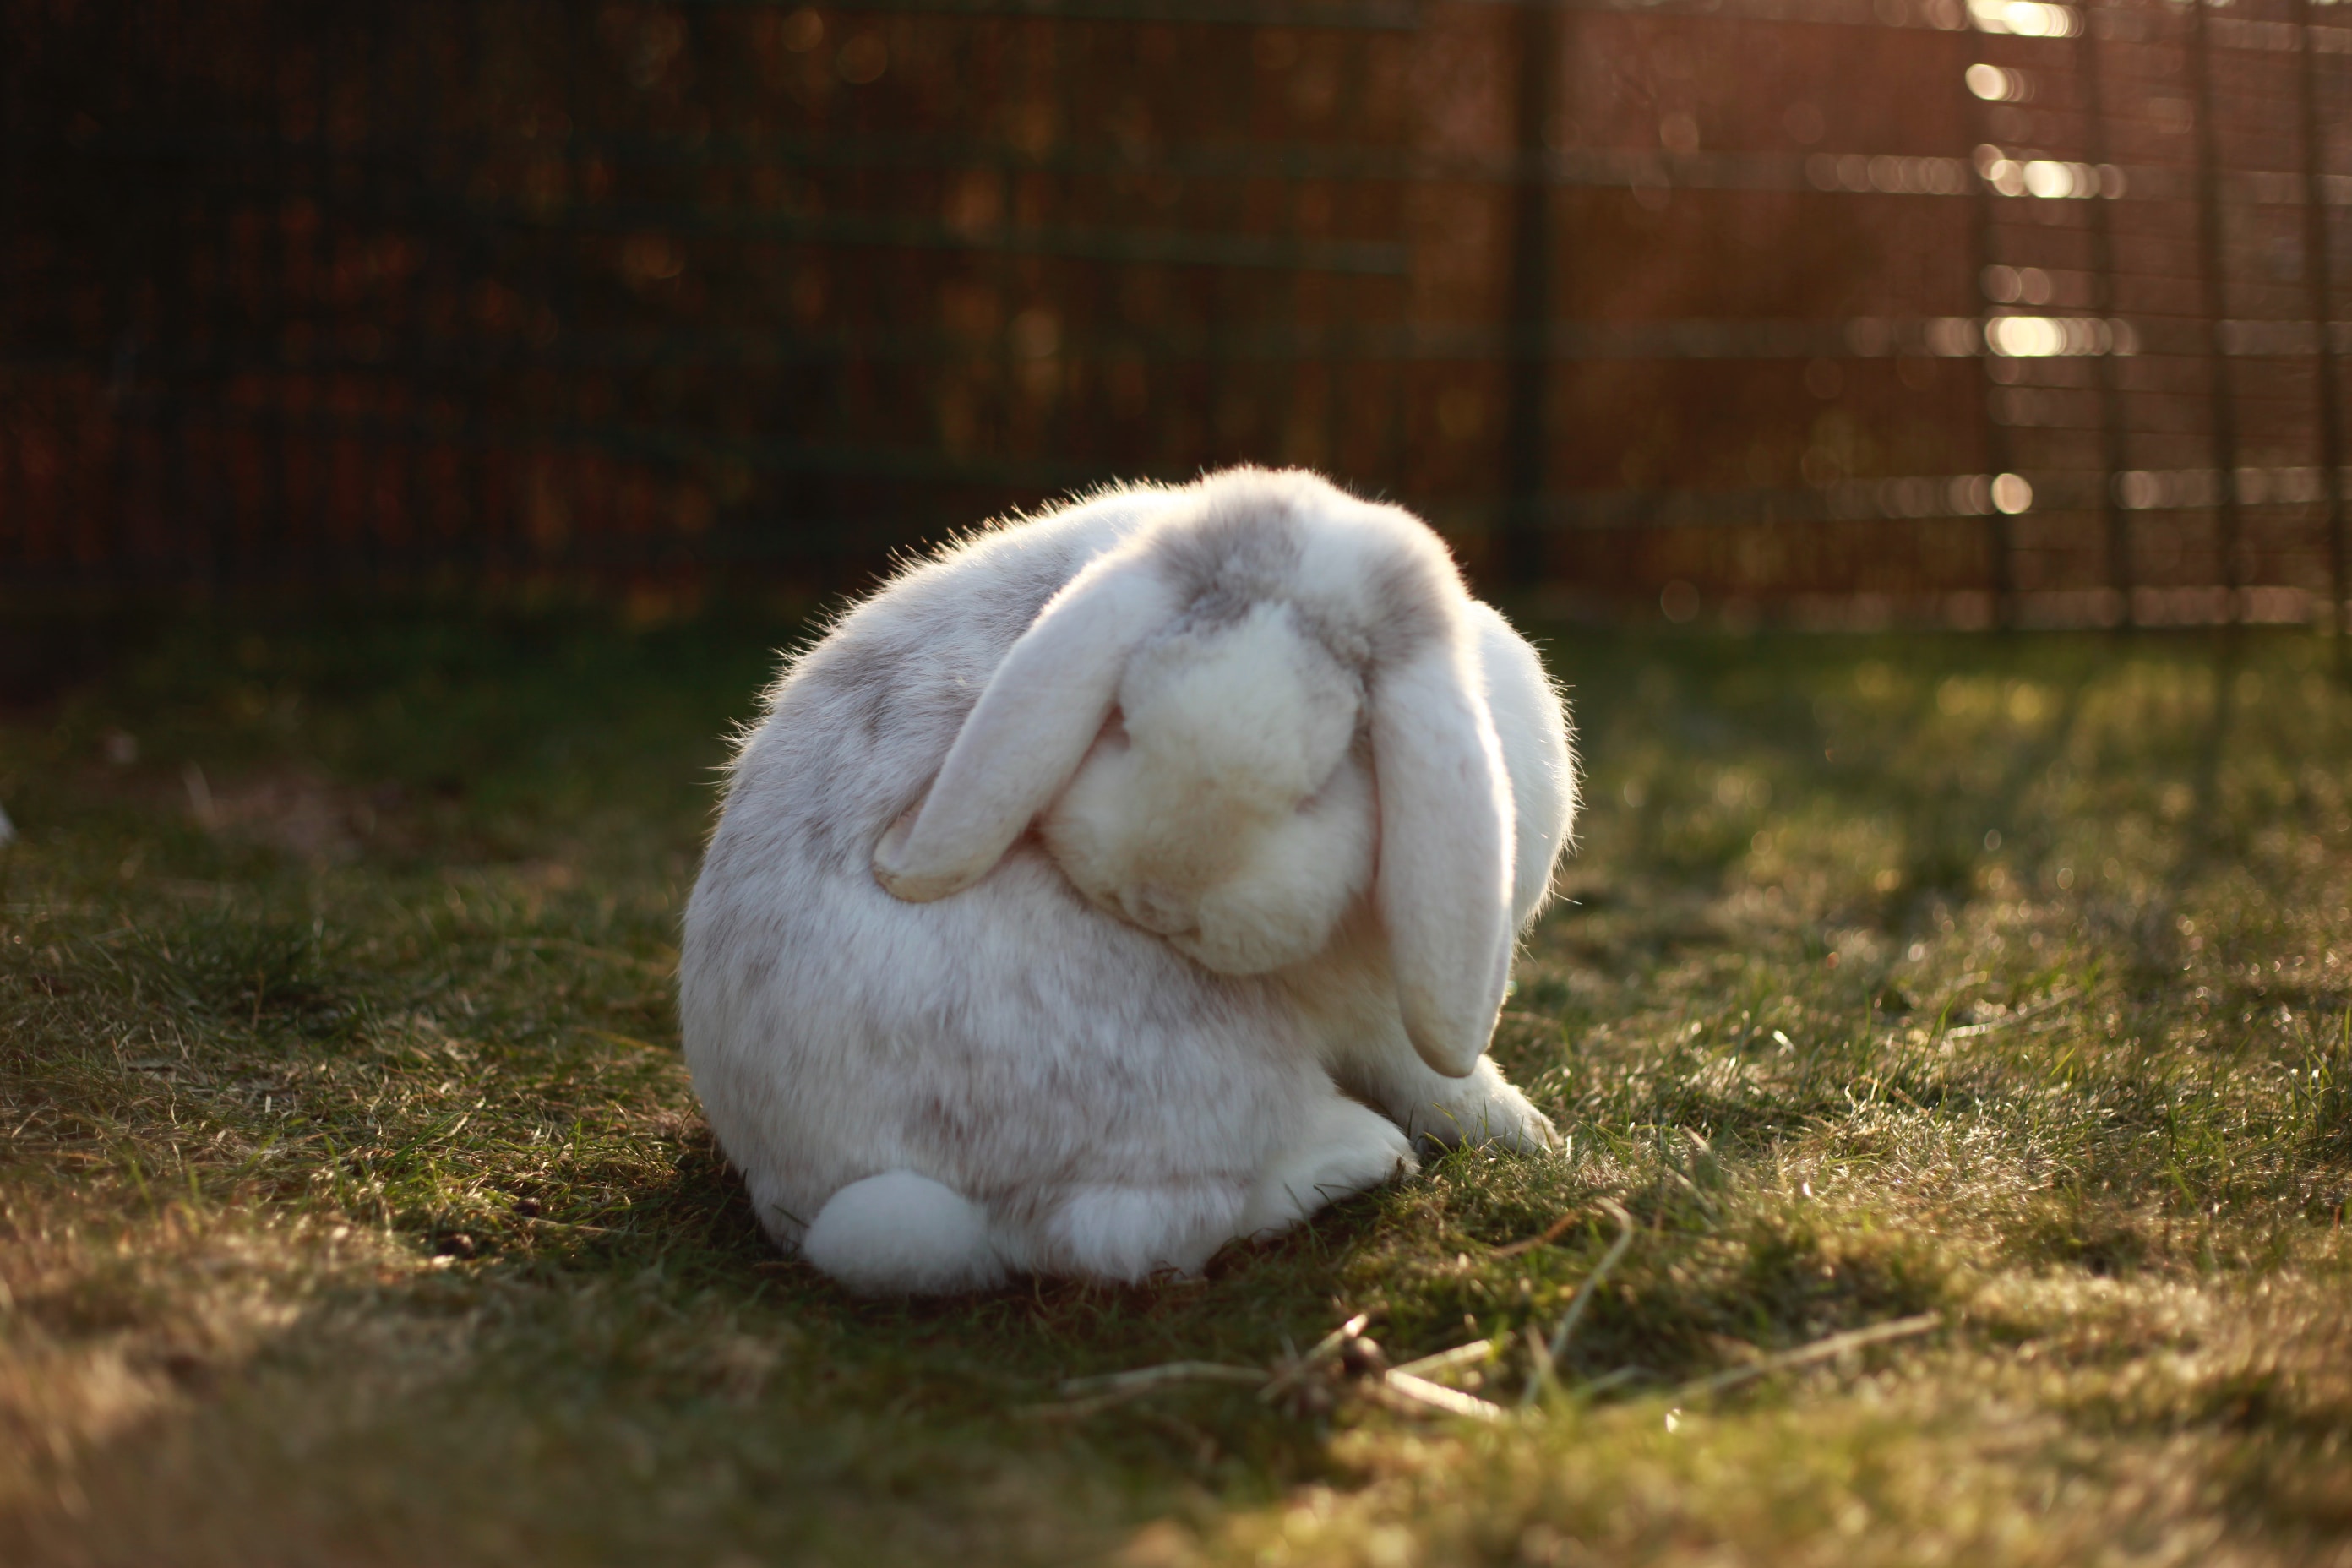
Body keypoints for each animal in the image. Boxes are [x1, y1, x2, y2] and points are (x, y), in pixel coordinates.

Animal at [686, 470, 1589, 1298]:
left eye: (1323, 782)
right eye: (1121, 718)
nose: (1154, 900)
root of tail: (798, 1182)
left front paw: (1531, 1139)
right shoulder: (1371, 1016)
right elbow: (1425, 1072)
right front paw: (1524, 1134)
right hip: (1195, 1077)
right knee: (1129, 1231)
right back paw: (1361, 1155)